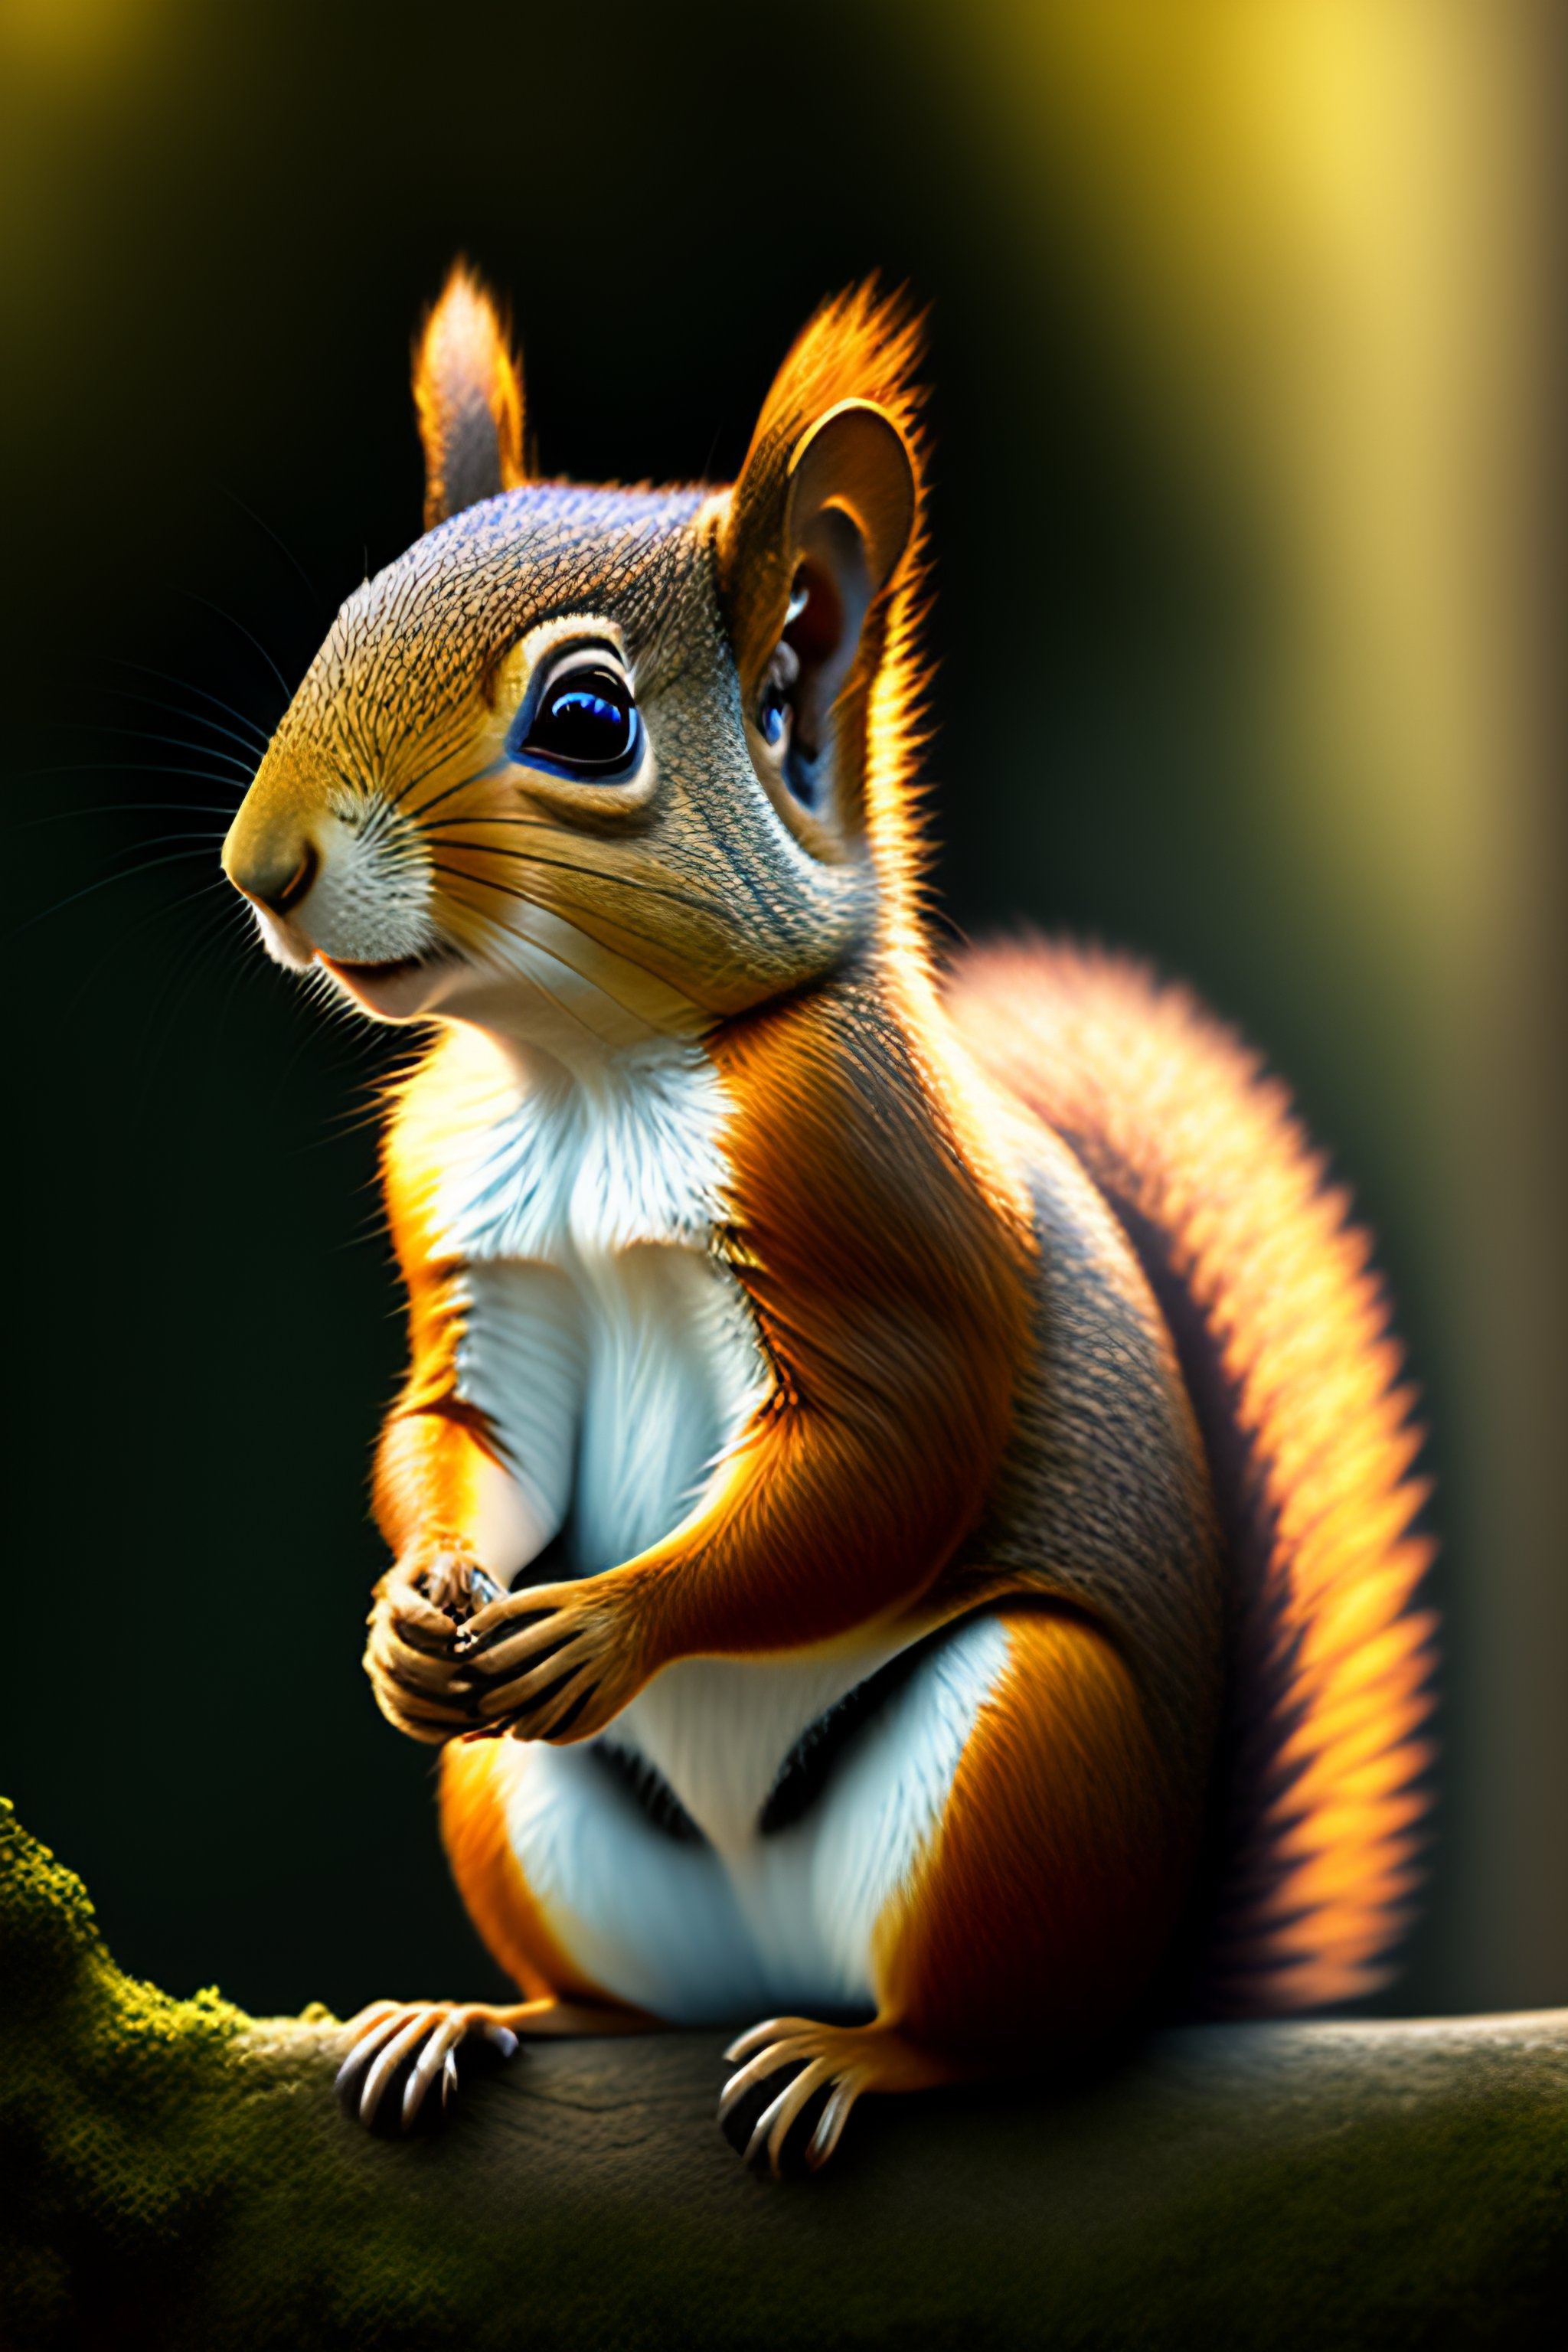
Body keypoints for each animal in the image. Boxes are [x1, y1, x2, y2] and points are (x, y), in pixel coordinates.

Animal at [220, 264, 1436, 2174]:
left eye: (585, 723)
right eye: (349, 618)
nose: (261, 870)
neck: (583, 1072)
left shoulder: (874, 1194)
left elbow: (884, 1464)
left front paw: (610, 1624)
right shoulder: (473, 1240)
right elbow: (470, 1431)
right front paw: (416, 1607)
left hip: (1026, 1753)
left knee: (1000, 2030)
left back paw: (874, 2061)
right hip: (531, 1816)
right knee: (621, 1995)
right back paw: (481, 2019)